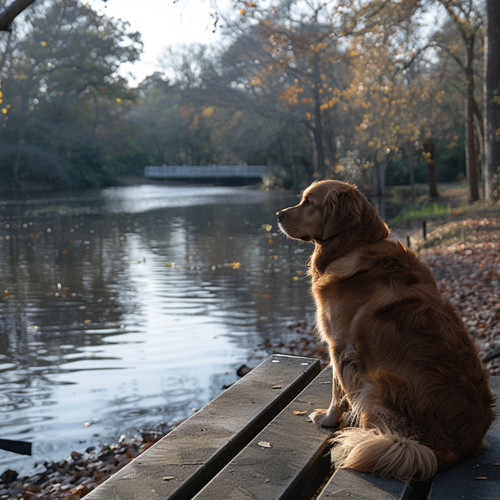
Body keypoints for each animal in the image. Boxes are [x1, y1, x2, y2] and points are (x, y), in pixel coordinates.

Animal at [278, 180, 496, 480]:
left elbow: (337, 390)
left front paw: (328, 419)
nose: (277, 215)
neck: (354, 246)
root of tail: (452, 448)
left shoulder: (339, 344)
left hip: (376, 384)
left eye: (308, 202)